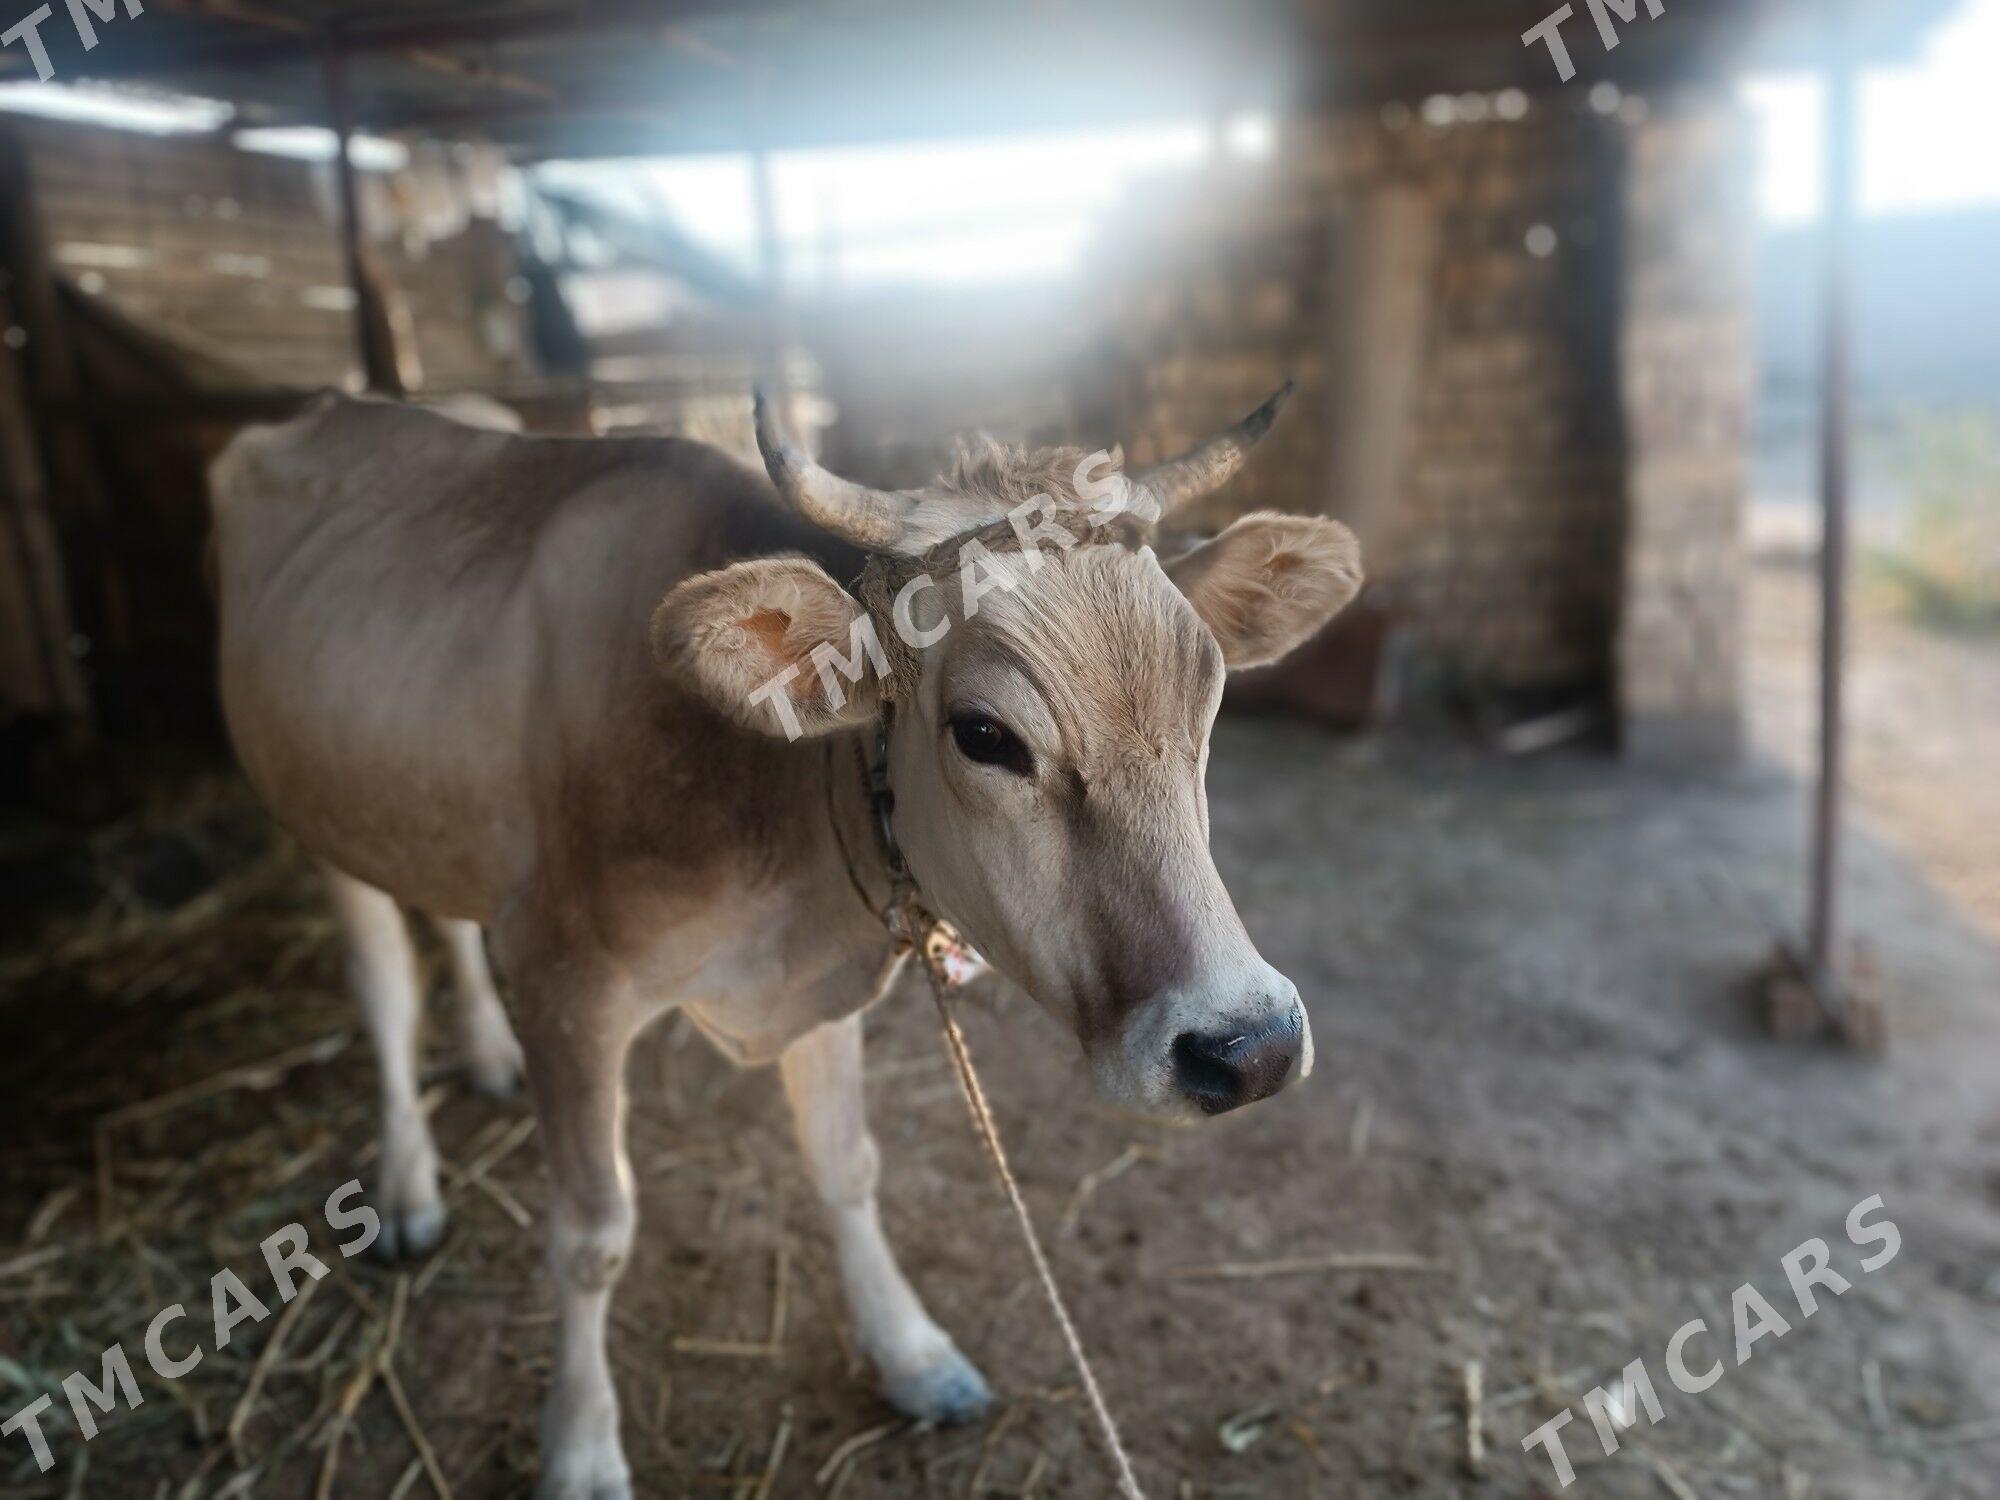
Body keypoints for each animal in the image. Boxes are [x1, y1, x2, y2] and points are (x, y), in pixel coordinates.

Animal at [207, 382, 1360, 1496]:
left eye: (1210, 696)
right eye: (984, 735)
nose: (1248, 1047)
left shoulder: (820, 978)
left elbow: (846, 1163)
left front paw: (910, 1351)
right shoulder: (565, 984)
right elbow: (591, 1236)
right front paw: (579, 1448)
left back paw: (483, 1057)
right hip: (312, 809)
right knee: (383, 986)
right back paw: (406, 1185)